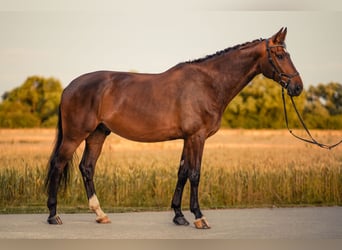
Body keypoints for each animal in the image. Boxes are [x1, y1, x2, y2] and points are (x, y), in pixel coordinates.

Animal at [44, 27, 302, 229]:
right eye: (280, 55)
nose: (297, 87)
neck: (208, 83)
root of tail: (69, 87)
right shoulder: (197, 137)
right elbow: (195, 174)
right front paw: (199, 217)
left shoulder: (187, 138)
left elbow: (182, 173)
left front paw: (179, 216)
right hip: (75, 135)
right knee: (58, 165)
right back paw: (53, 215)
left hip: (97, 134)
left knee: (87, 168)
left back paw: (100, 214)